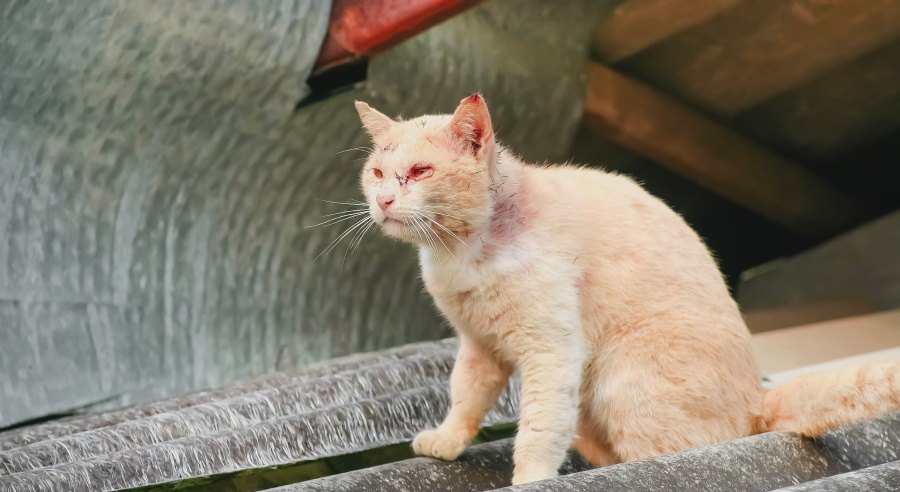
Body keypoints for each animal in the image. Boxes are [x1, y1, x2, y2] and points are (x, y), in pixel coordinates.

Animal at [352, 95, 900, 484]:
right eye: (377, 172)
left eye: (420, 172)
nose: (382, 200)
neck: (460, 254)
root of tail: (757, 398)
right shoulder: (478, 347)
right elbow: (464, 399)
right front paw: (446, 442)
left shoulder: (551, 351)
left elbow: (537, 429)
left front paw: (529, 478)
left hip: (622, 384)